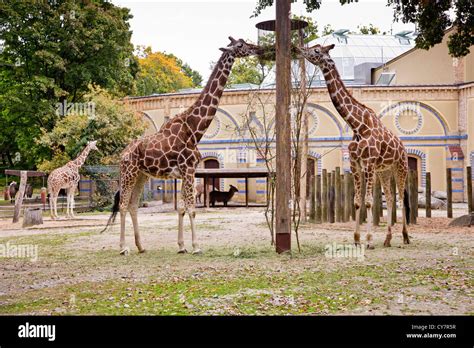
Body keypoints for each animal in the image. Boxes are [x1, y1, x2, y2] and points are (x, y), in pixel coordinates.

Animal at [102, 37, 264, 256]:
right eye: (240, 46)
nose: (256, 48)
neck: (194, 129)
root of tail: (122, 154)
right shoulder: (188, 169)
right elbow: (192, 209)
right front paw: (196, 246)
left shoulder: (184, 172)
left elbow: (181, 208)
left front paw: (181, 246)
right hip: (129, 172)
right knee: (123, 204)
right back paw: (123, 248)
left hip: (141, 175)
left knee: (134, 205)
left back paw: (141, 246)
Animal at [298, 44, 410, 249]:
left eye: (317, 50)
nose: (301, 48)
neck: (357, 125)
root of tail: (403, 147)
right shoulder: (355, 164)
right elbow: (357, 201)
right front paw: (357, 239)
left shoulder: (369, 164)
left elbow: (368, 201)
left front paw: (369, 240)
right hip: (384, 171)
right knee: (390, 197)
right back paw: (388, 239)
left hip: (400, 167)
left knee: (400, 198)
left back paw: (405, 236)